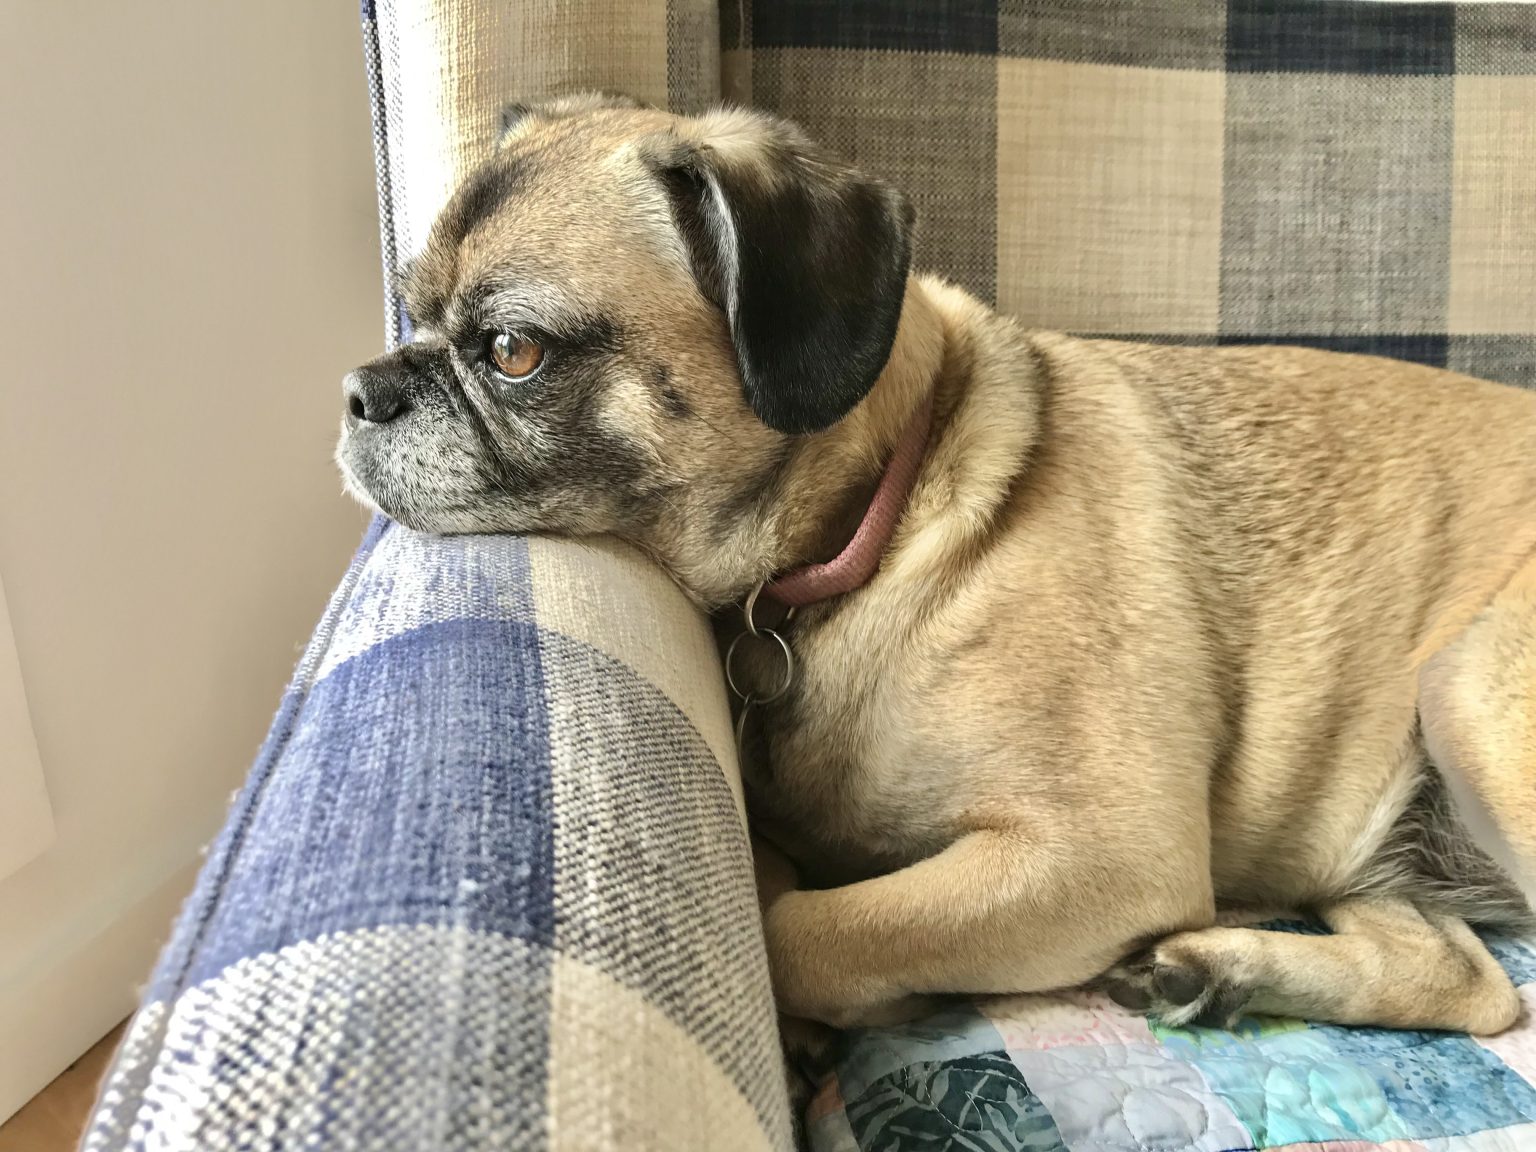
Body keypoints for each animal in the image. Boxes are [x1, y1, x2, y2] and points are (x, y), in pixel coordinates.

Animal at [337, 93, 1536, 1037]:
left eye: (513, 352)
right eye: (412, 312)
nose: (361, 388)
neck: (878, 518)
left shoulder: (1097, 855)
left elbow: (804, 930)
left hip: (1470, 694)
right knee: (1466, 983)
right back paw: (1219, 972)